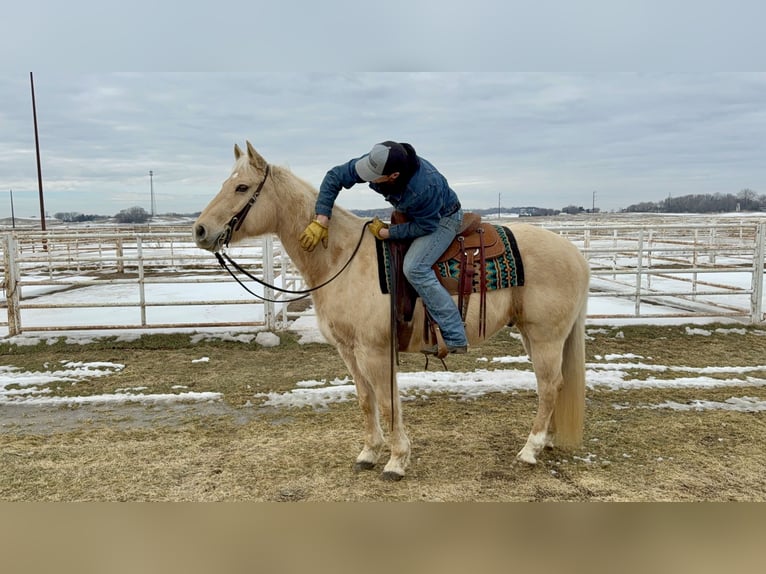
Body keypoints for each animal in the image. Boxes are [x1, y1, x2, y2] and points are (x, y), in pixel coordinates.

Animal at [193, 141, 590, 480]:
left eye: (242, 187)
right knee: (555, 384)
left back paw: (530, 449)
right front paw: (369, 453)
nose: (200, 230)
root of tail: (575, 255)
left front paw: (397, 461)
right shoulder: (349, 351)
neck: (342, 259)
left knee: (549, 386)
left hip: (546, 336)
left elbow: (386, 402)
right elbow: (366, 401)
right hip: (533, 335)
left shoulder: (374, 350)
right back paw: (547, 440)